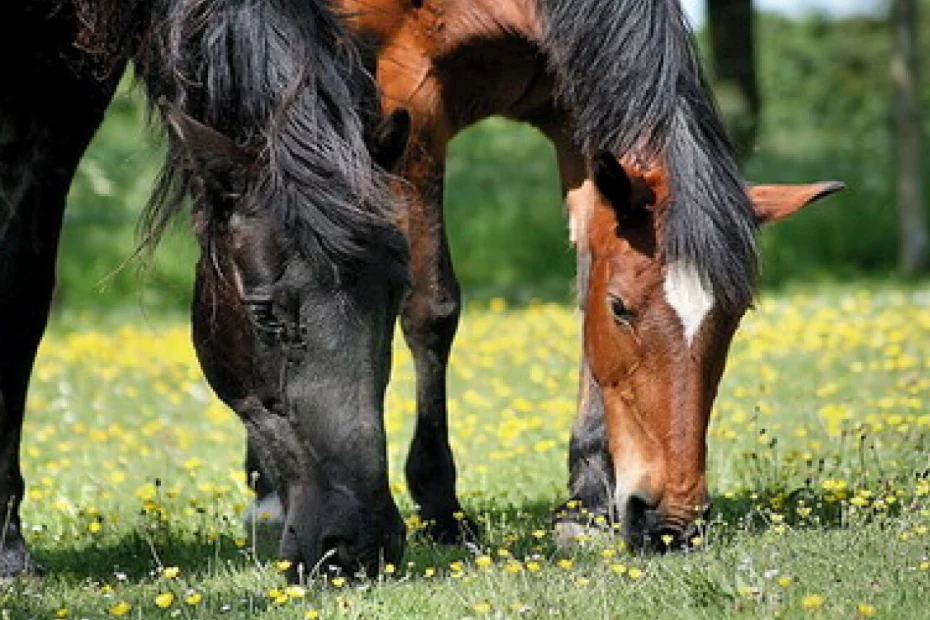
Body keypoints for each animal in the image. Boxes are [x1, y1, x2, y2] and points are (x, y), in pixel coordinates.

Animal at [324, 0, 840, 552]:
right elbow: (431, 310)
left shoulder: (575, 115)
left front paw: (587, 503)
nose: (672, 523)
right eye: (620, 308)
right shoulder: (415, 105)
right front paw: (441, 507)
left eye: (736, 314)